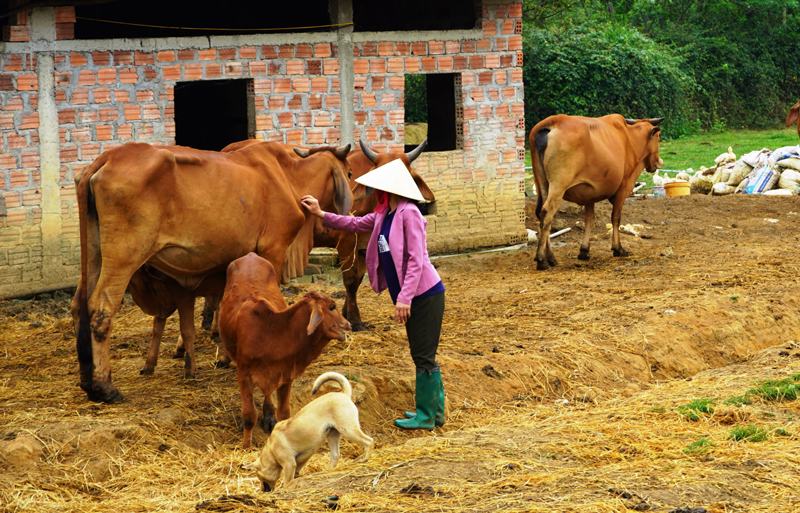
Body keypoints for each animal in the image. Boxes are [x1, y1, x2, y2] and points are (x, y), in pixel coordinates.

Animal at [70, 141, 352, 404]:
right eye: (349, 172)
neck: (289, 175)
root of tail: (107, 157)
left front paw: (227, 358)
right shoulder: (273, 249)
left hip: (93, 255)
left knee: (78, 306)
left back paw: (87, 381)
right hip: (124, 257)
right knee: (100, 310)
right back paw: (104, 386)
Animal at [217, 253, 352, 448]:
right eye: (332, 306)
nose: (348, 324)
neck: (271, 333)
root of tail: (250, 255)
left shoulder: (285, 374)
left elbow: (284, 414)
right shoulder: (244, 374)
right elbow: (249, 416)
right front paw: (246, 447)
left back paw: (268, 415)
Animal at [245, 370, 374, 490]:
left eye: (260, 477)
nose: (263, 490)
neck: (271, 450)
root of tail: (344, 394)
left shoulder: (289, 464)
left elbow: (287, 481)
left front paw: (286, 487)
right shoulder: (303, 459)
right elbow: (297, 472)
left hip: (348, 430)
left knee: (369, 441)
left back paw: (364, 458)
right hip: (333, 435)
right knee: (335, 455)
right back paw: (328, 471)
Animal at [528, 114, 664, 270]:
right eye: (658, 137)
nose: (660, 162)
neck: (630, 138)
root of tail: (553, 121)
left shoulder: (588, 193)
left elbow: (589, 219)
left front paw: (584, 251)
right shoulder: (623, 187)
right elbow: (616, 217)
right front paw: (618, 248)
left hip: (543, 184)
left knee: (542, 215)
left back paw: (551, 257)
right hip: (558, 185)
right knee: (547, 213)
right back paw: (542, 260)